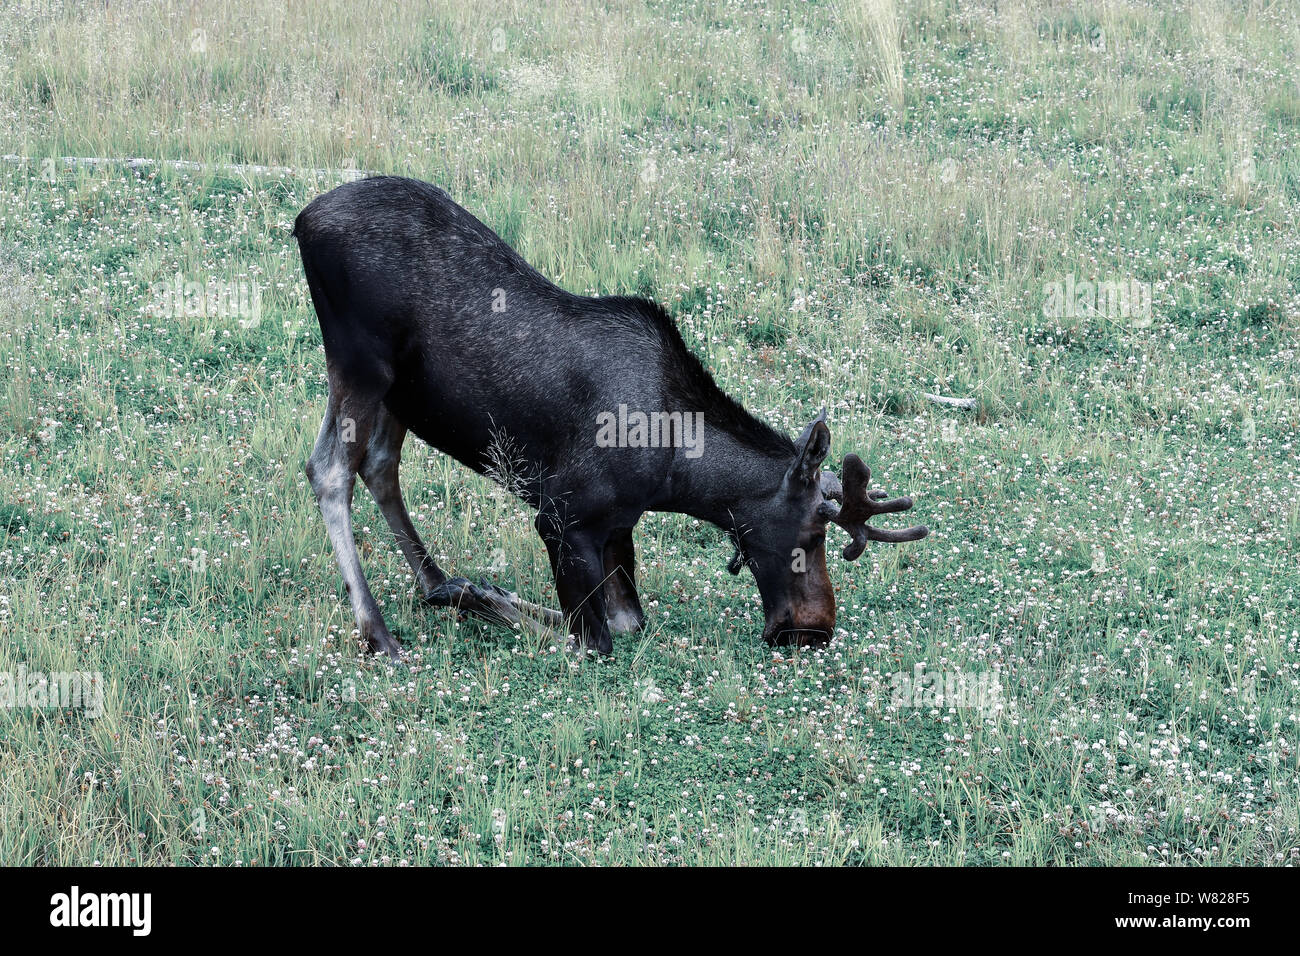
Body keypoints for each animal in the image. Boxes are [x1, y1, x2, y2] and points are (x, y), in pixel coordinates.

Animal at [295, 175, 925, 660]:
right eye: (814, 533)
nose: (814, 631)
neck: (678, 477)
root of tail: (303, 221)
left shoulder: (618, 526)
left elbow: (624, 620)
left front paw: (466, 589)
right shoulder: (560, 518)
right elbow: (592, 638)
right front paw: (473, 595)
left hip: (396, 391)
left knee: (379, 465)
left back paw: (430, 578)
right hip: (360, 365)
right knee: (329, 470)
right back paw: (379, 632)